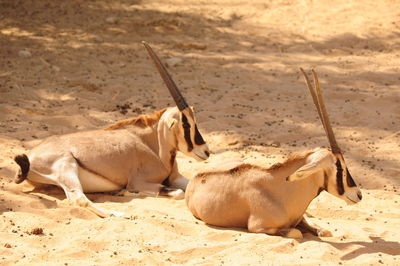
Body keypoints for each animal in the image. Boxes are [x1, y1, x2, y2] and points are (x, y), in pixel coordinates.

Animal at [12, 42, 211, 218]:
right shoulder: (139, 181)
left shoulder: (175, 177)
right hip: (67, 167)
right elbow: (177, 192)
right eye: (186, 124)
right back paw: (118, 213)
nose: (206, 151)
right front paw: (127, 193)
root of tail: (30, 156)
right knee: (78, 199)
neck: (153, 146)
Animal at [184, 68, 362, 239]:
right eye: (339, 167)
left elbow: (323, 230)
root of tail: (195, 177)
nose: (359, 194)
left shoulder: (300, 219)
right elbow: (296, 233)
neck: (281, 188)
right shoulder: (258, 227)